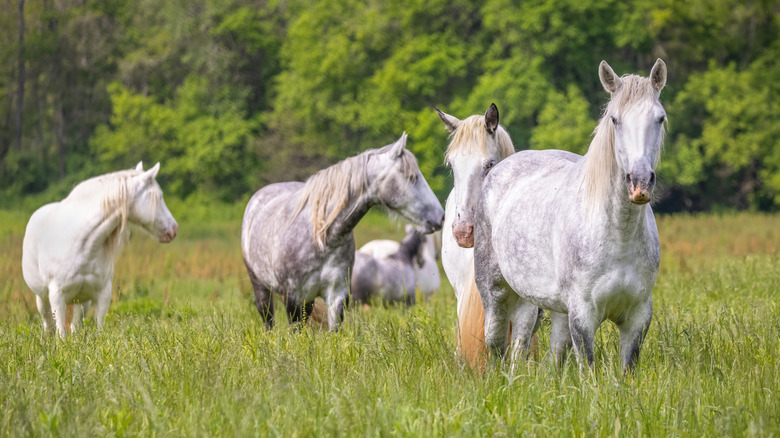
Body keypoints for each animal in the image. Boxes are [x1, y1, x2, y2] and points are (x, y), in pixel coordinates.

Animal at [22, 162, 179, 338]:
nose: (173, 229)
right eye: (159, 196)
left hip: (82, 301)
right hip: (42, 298)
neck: (82, 246)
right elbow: (61, 333)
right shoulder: (57, 295)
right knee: (47, 324)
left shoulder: (102, 294)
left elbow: (99, 328)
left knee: (75, 325)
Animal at [241, 133, 444, 331]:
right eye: (412, 177)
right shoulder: (293, 298)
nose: (440, 216)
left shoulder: (336, 295)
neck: (322, 239)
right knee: (267, 319)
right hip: (261, 286)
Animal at [473, 59, 667, 372]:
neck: (618, 234)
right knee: (497, 344)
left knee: (531, 346)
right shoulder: (582, 316)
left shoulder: (637, 317)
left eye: (659, 118)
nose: (639, 181)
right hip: (495, 294)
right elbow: (587, 368)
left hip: (540, 304)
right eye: (614, 120)